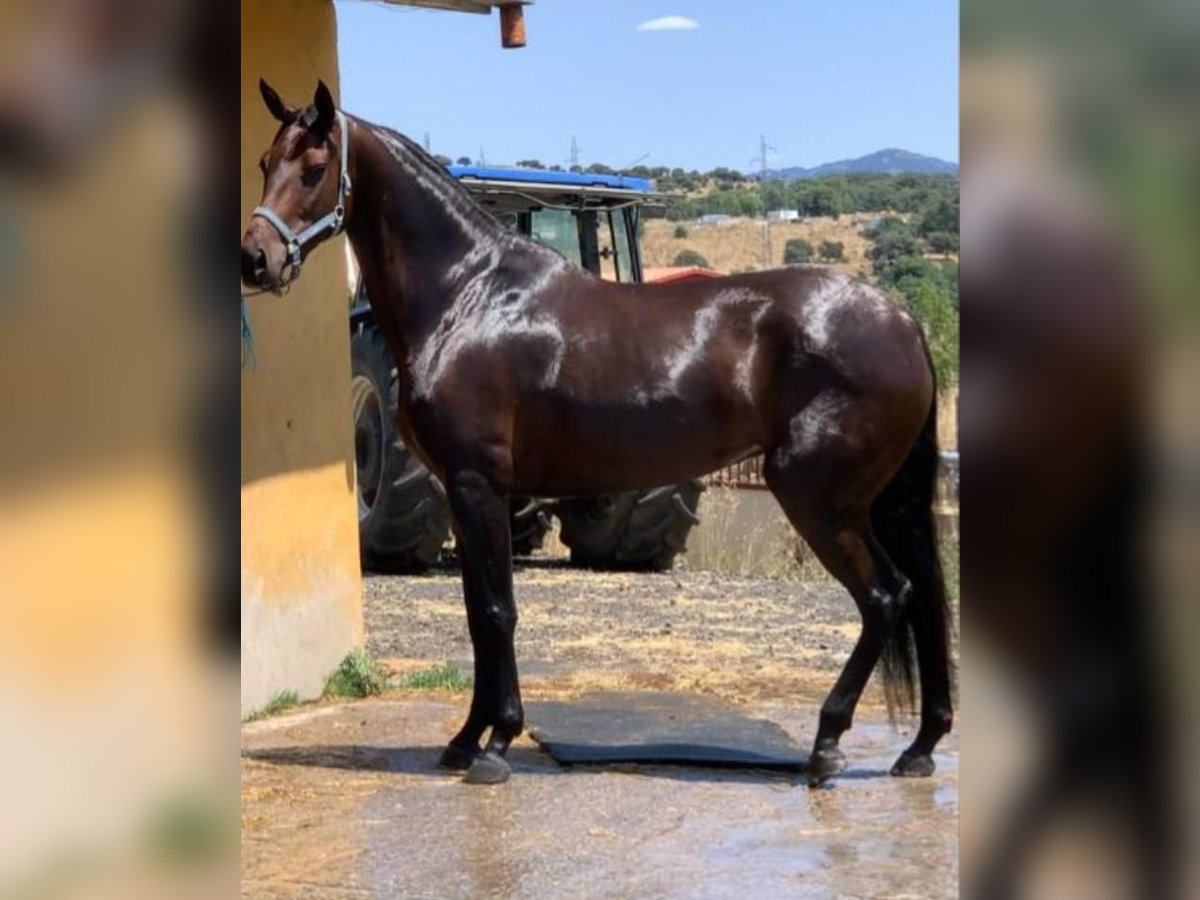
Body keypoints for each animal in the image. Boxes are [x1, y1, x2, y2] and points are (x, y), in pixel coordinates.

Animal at [241, 84, 955, 787]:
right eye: (265, 163)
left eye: (314, 168)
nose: (255, 258)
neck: (467, 296)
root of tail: (901, 319)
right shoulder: (465, 492)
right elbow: (477, 613)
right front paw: (466, 739)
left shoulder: (476, 484)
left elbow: (496, 610)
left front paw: (496, 745)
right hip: (877, 501)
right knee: (921, 599)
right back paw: (918, 748)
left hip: (821, 501)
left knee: (886, 597)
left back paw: (828, 744)